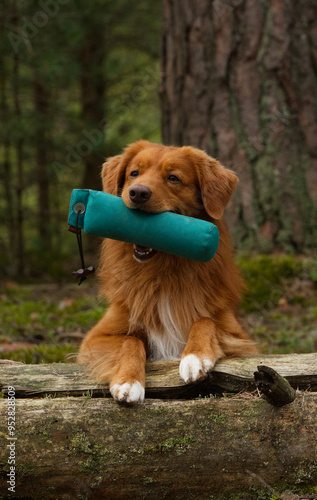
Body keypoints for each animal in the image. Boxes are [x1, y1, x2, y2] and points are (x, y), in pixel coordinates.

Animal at [77, 140, 256, 402]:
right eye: (134, 173)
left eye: (173, 178)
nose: (138, 193)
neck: (162, 272)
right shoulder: (96, 338)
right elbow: (130, 340)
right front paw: (128, 381)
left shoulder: (239, 337)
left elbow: (205, 320)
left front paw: (195, 356)